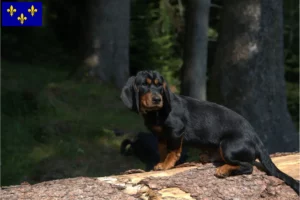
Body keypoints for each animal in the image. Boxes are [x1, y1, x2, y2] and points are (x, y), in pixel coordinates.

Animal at [120, 70, 298, 194]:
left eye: (159, 85)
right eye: (144, 84)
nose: (158, 99)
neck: (155, 113)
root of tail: (256, 138)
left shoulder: (177, 131)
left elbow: (173, 151)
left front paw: (166, 165)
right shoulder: (161, 136)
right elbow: (163, 150)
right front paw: (160, 163)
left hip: (228, 146)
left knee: (247, 166)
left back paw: (224, 169)